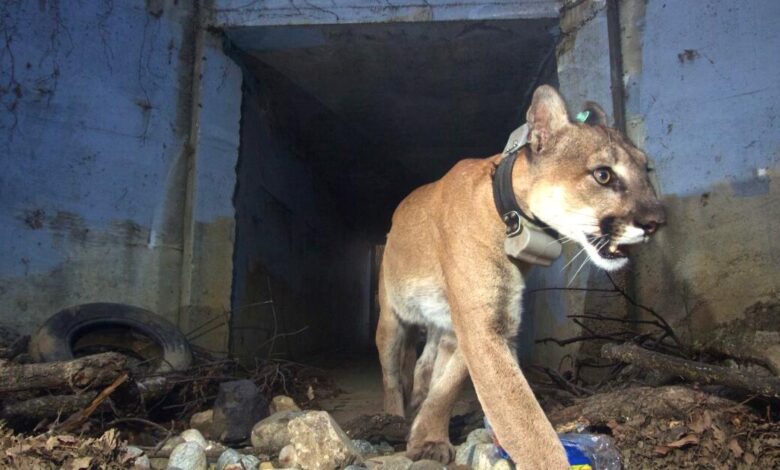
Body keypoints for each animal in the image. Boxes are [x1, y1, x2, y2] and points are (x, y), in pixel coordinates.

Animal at [375, 85, 665, 468]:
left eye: (646, 170)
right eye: (603, 175)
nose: (657, 221)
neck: (514, 216)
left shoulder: (482, 323)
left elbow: (449, 384)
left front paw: (427, 436)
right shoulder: (481, 325)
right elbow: (524, 421)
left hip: (442, 324)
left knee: (428, 363)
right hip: (390, 318)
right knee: (392, 374)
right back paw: (392, 415)